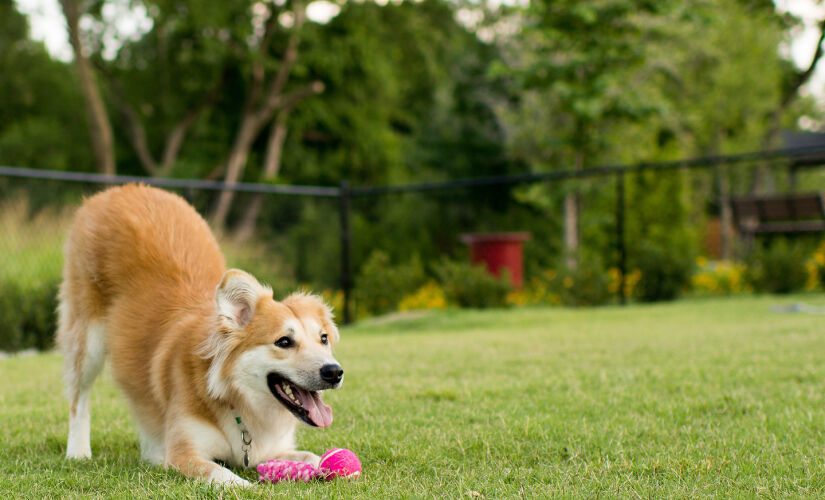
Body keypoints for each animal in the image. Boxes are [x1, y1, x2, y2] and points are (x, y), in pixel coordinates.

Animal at [56, 184, 342, 484]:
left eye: (323, 339)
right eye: (284, 342)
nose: (334, 372)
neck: (235, 398)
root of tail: (122, 189)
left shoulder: (270, 450)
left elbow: (312, 456)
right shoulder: (184, 453)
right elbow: (223, 474)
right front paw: (246, 486)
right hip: (87, 339)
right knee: (79, 398)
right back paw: (78, 451)